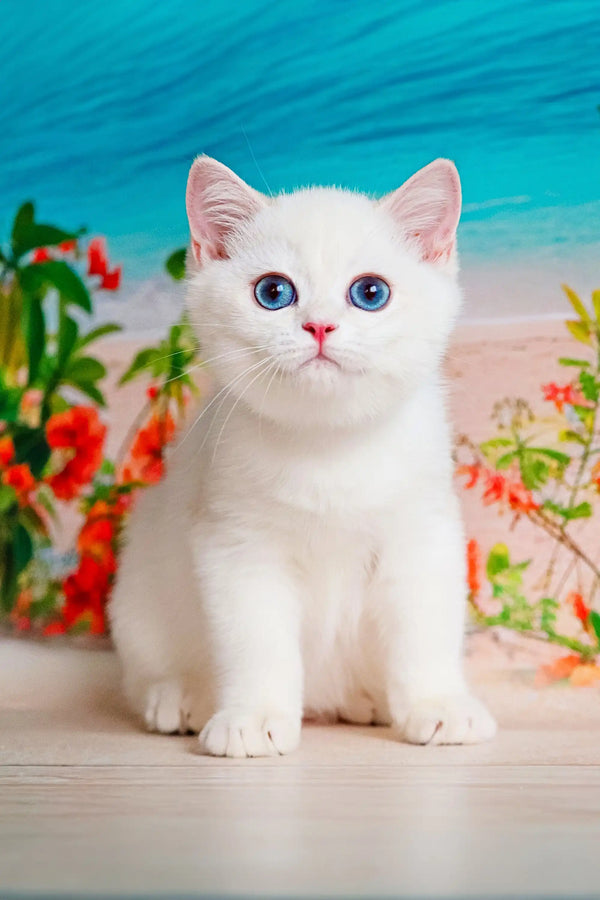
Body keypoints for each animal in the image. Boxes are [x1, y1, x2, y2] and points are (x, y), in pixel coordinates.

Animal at [109, 155, 496, 752]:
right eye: (273, 292)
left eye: (370, 293)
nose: (319, 325)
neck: (328, 448)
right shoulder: (236, 545)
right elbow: (256, 642)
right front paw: (254, 717)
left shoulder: (423, 534)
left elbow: (425, 629)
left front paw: (438, 704)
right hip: (138, 595)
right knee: (144, 670)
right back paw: (181, 695)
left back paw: (366, 700)